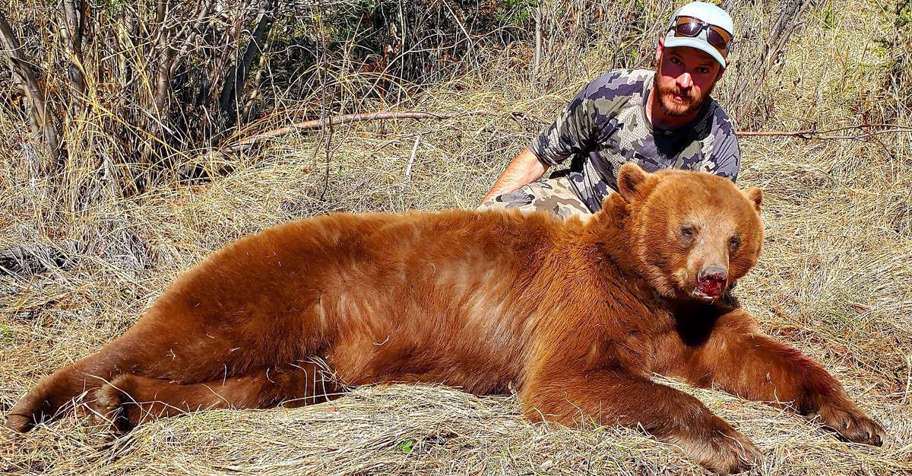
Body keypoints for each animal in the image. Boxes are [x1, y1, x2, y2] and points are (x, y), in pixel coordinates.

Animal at [6, 163, 885, 474]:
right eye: (686, 227)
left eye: (736, 236)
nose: (709, 276)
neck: (650, 296)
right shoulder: (584, 304)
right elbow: (566, 381)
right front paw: (731, 443)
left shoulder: (690, 326)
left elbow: (753, 355)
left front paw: (855, 417)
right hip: (274, 289)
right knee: (179, 341)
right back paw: (71, 402)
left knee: (264, 378)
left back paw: (127, 404)